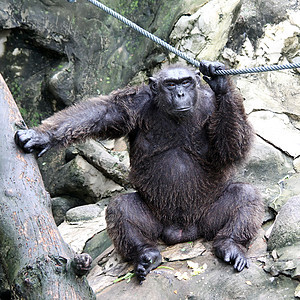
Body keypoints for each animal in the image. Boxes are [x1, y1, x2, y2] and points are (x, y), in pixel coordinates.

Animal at [15, 61, 262, 284]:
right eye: (170, 84)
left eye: (186, 82)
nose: (180, 93)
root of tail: (183, 232)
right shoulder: (132, 104)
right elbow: (102, 112)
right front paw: (42, 136)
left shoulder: (212, 107)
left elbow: (231, 149)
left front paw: (221, 83)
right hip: (156, 222)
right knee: (120, 207)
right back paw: (146, 255)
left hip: (207, 218)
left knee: (246, 195)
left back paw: (231, 245)